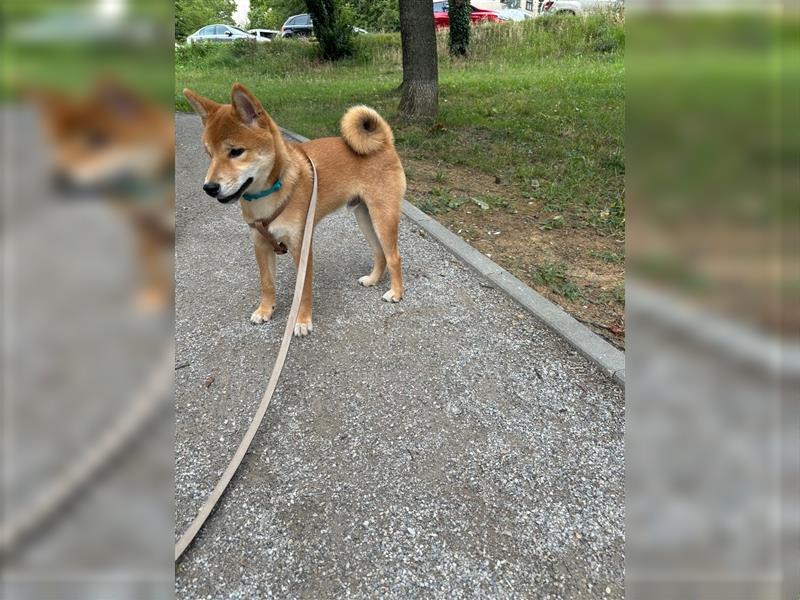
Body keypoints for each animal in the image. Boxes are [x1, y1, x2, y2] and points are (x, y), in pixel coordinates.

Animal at [27, 78, 176, 314]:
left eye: (98, 140)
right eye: (56, 143)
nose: (57, 180)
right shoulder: (141, 229)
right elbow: (152, 268)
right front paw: (155, 295)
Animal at [183, 83, 406, 338]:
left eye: (236, 152)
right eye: (209, 154)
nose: (209, 188)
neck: (268, 194)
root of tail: (385, 142)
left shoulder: (301, 246)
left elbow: (303, 291)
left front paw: (302, 321)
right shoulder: (260, 244)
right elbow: (267, 283)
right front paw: (265, 310)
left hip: (382, 216)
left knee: (393, 256)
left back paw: (396, 292)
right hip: (365, 217)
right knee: (380, 253)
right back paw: (372, 280)